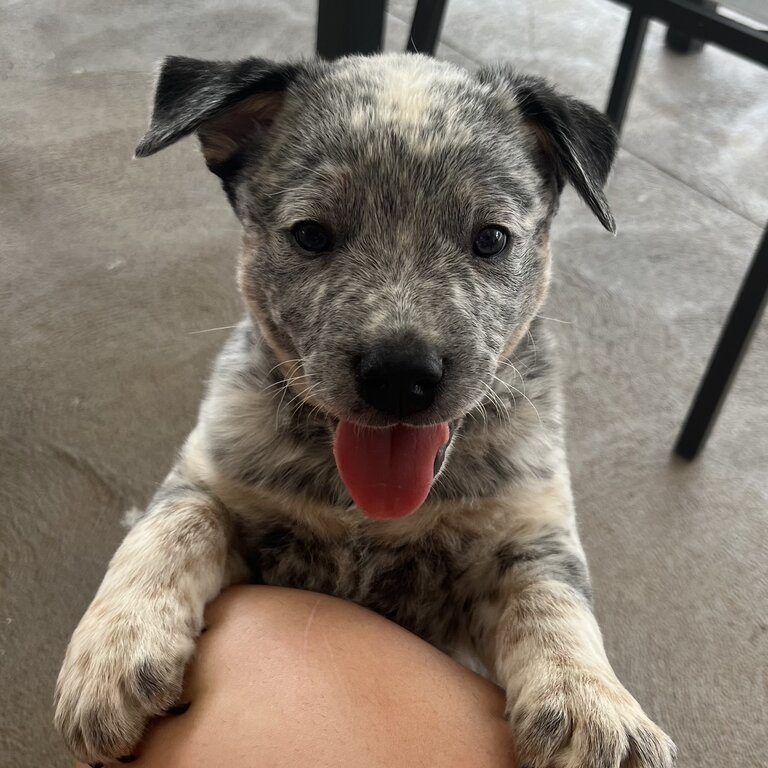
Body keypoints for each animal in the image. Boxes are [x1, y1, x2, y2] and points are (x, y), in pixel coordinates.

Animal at [55, 54, 680, 768]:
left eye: (491, 239)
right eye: (310, 235)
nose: (401, 376)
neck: (367, 514)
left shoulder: (527, 532)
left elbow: (554, 605)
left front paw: (595, 709)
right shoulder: (212, 474)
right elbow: (171, 527)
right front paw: (111, 656)